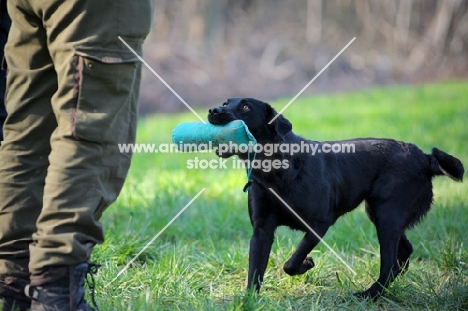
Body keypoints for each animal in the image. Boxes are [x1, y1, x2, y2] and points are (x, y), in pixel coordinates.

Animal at [208, 98, 464, 302]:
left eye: (245, 106)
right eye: (225, 102)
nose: (213, 110)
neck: (276, 170)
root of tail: (425, 158)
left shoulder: (320, 223)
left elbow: (291, 262)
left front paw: (307, 264)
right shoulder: (262, 230)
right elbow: (255, 270)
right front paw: (249, 301)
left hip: (387, 214)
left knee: (390, 263)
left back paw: (369, 295)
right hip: (380, 213)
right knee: (404, 252)